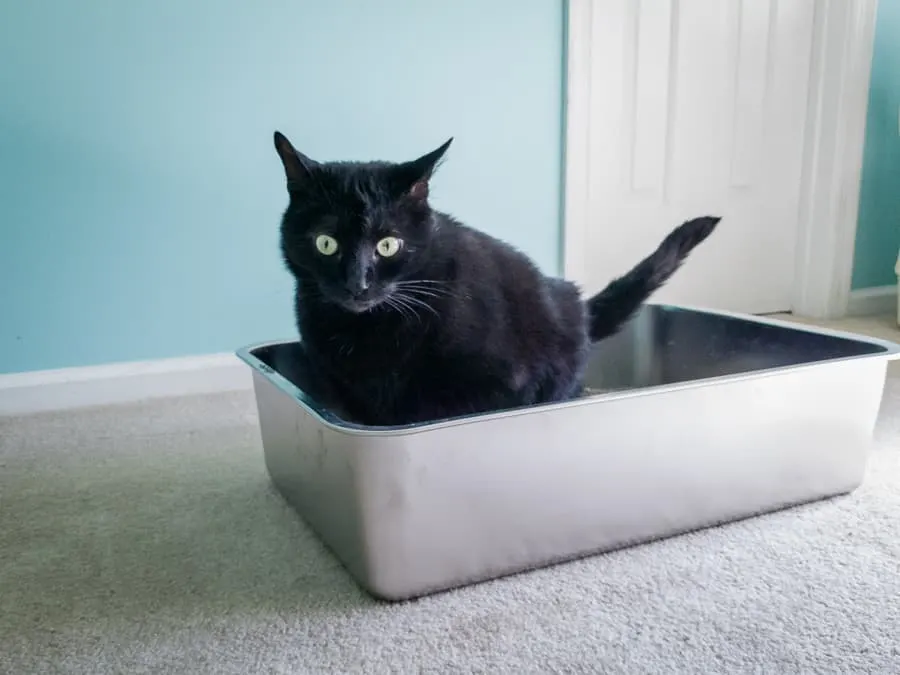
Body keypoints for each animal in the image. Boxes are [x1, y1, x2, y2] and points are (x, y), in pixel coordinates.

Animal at [270, 131, 720, 426]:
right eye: (325, 243)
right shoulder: (343, 390)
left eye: (388, 245)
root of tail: (577, 306)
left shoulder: (498, 387)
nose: (357, 283)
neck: (367, 331)